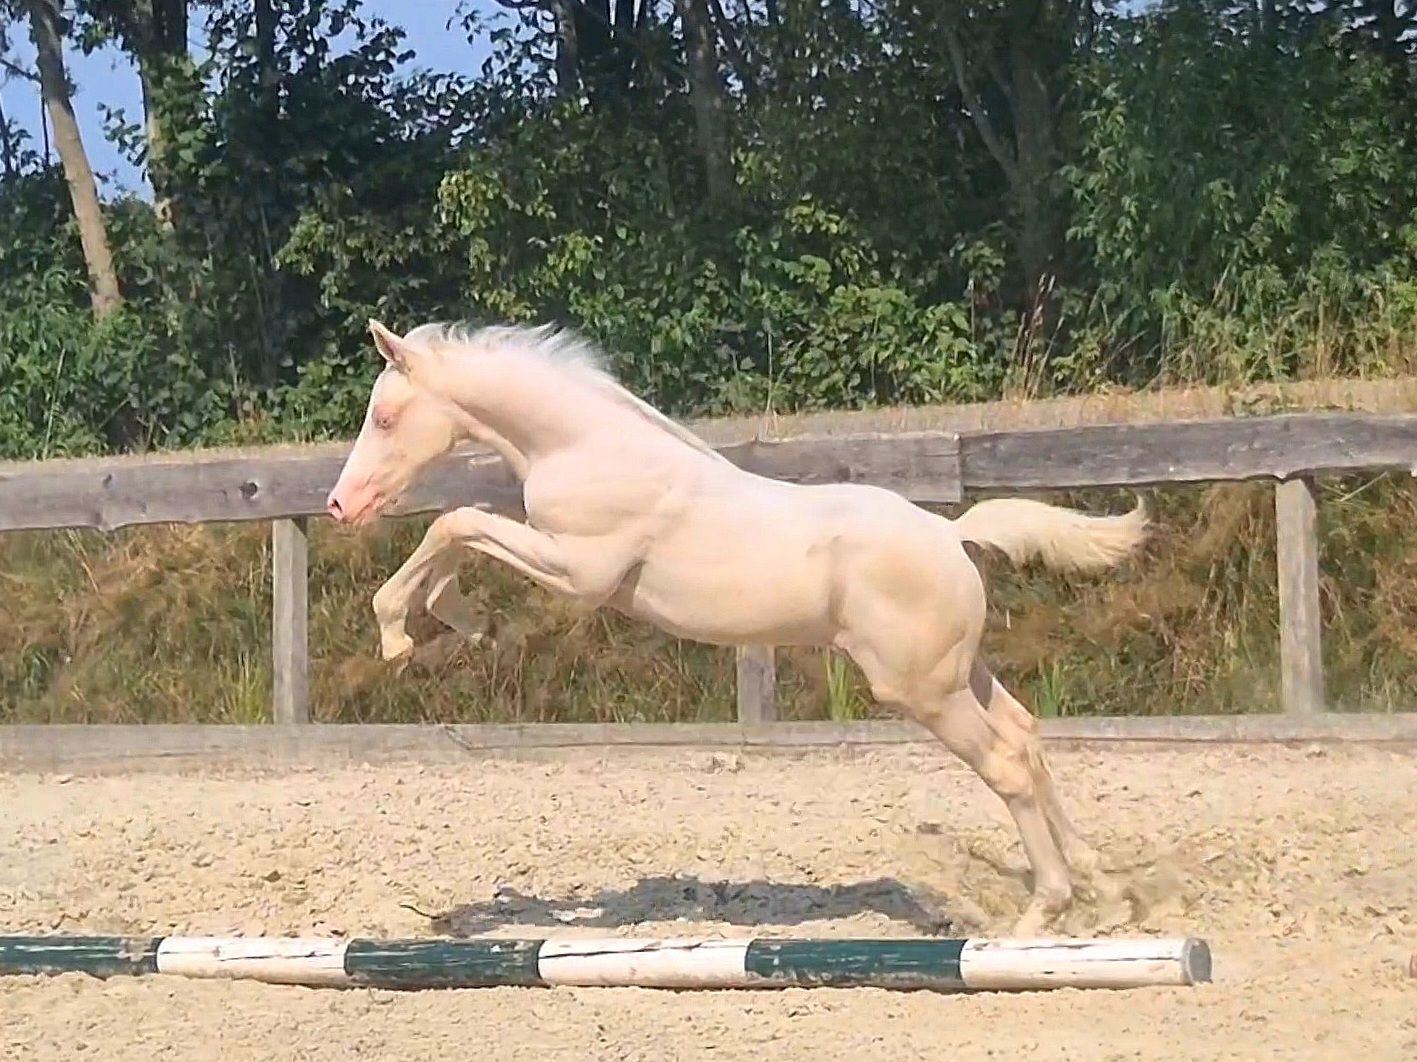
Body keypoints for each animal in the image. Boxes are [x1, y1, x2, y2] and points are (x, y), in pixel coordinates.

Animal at [326, 319, 1149, 935]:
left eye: (385, 417)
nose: (341, 504)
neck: (589, 448)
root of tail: (952, 536)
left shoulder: (580, 569)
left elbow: (456, 520)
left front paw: (404, 631)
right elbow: (458, 529)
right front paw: (457, 619)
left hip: (922, 692)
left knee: (1006, 765)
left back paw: (1041, 915)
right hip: (961, 675)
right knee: (1027, 738)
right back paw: (1107, 892)